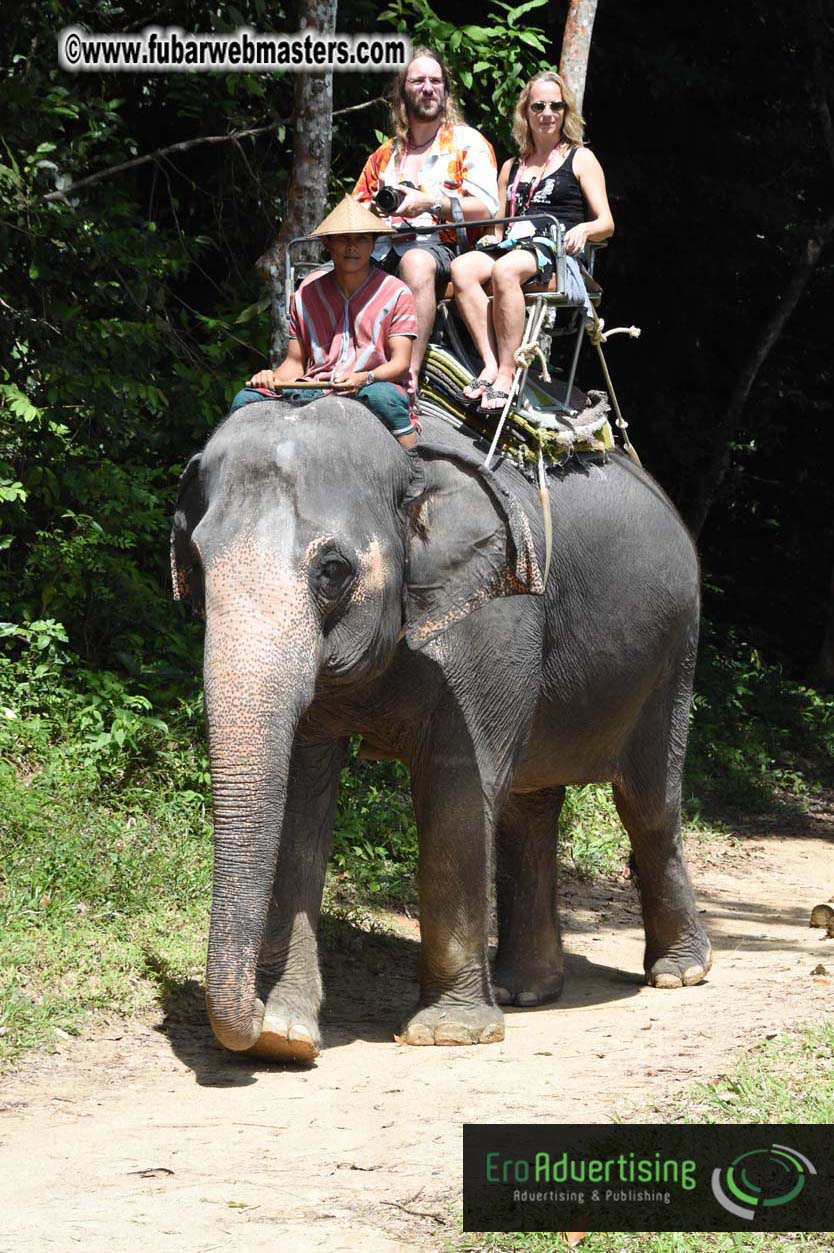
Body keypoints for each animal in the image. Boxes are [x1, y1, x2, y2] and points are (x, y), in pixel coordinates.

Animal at [171, 395, 712, 1063]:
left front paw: (447, 1034)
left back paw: (679, 973)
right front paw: (285, 1038)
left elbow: (456, 790)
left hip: (675, 650)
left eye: (332, 570)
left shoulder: (495, 618)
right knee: (530, 805)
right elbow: (300, 797)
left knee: (648, 801)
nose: (247, 1011)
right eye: (196, 565)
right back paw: (524, 991)